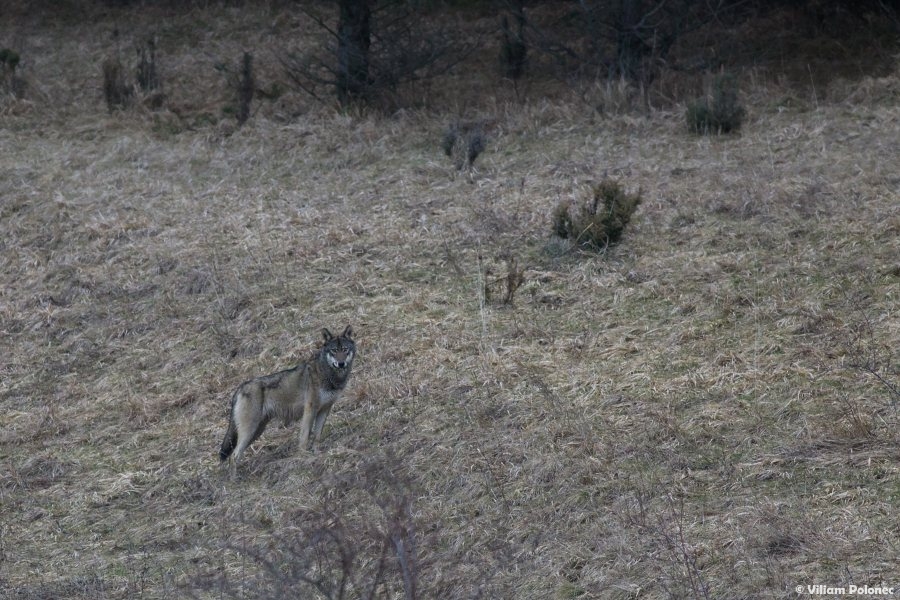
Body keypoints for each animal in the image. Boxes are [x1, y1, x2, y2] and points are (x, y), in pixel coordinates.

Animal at [218, 328, 356, 464]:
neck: (328, 374)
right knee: (234, 456)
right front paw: (303, 456)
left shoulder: (325, 409)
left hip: (256, 431)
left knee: (235, 454)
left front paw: (317, 453)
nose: (341, 363)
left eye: (345, 349)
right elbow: (305, 436)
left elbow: (317, 436)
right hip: (250, 431)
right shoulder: (310, 409)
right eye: (334, 350)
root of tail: (240, 388)